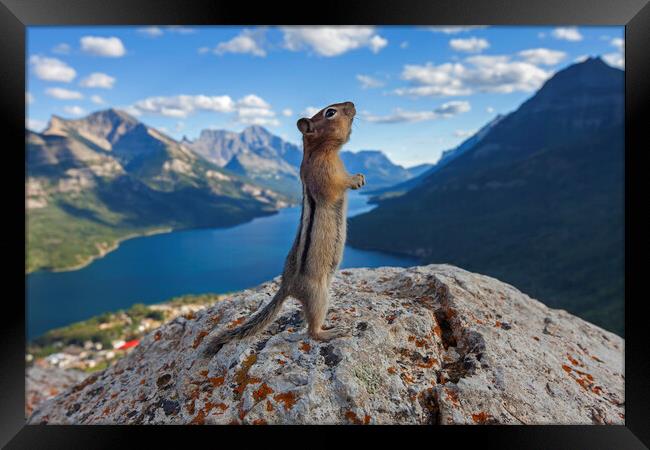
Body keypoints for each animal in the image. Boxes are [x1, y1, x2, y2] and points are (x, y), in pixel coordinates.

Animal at [202, 101, 362, 356]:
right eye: (330, 112)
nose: (353, 103)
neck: (321, 151)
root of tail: (287, 286)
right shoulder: (324, 176)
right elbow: (337, 185)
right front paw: (356, 179)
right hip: (318, 294)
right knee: (312, 331)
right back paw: (332, 331)